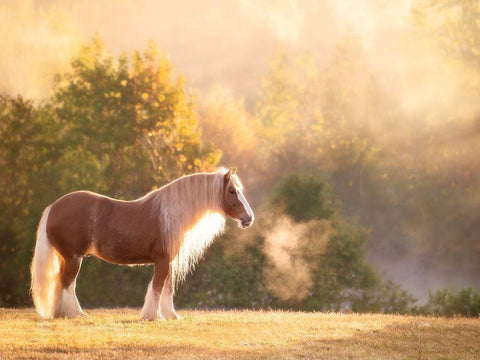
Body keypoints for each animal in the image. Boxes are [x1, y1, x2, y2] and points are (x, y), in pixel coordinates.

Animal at [30, 167, 255, 320]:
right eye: (232, 191)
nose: (249, 219)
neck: (170, 214)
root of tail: (54, 206)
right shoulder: (162, 261)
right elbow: (157, 287)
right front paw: (153, 316)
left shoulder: (169, 262)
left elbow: (167, 288)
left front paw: (171, 316)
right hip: (74, 258)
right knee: (67, 283)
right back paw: (75, 314)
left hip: (66, 258)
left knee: (61, 282)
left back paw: (61, 313)